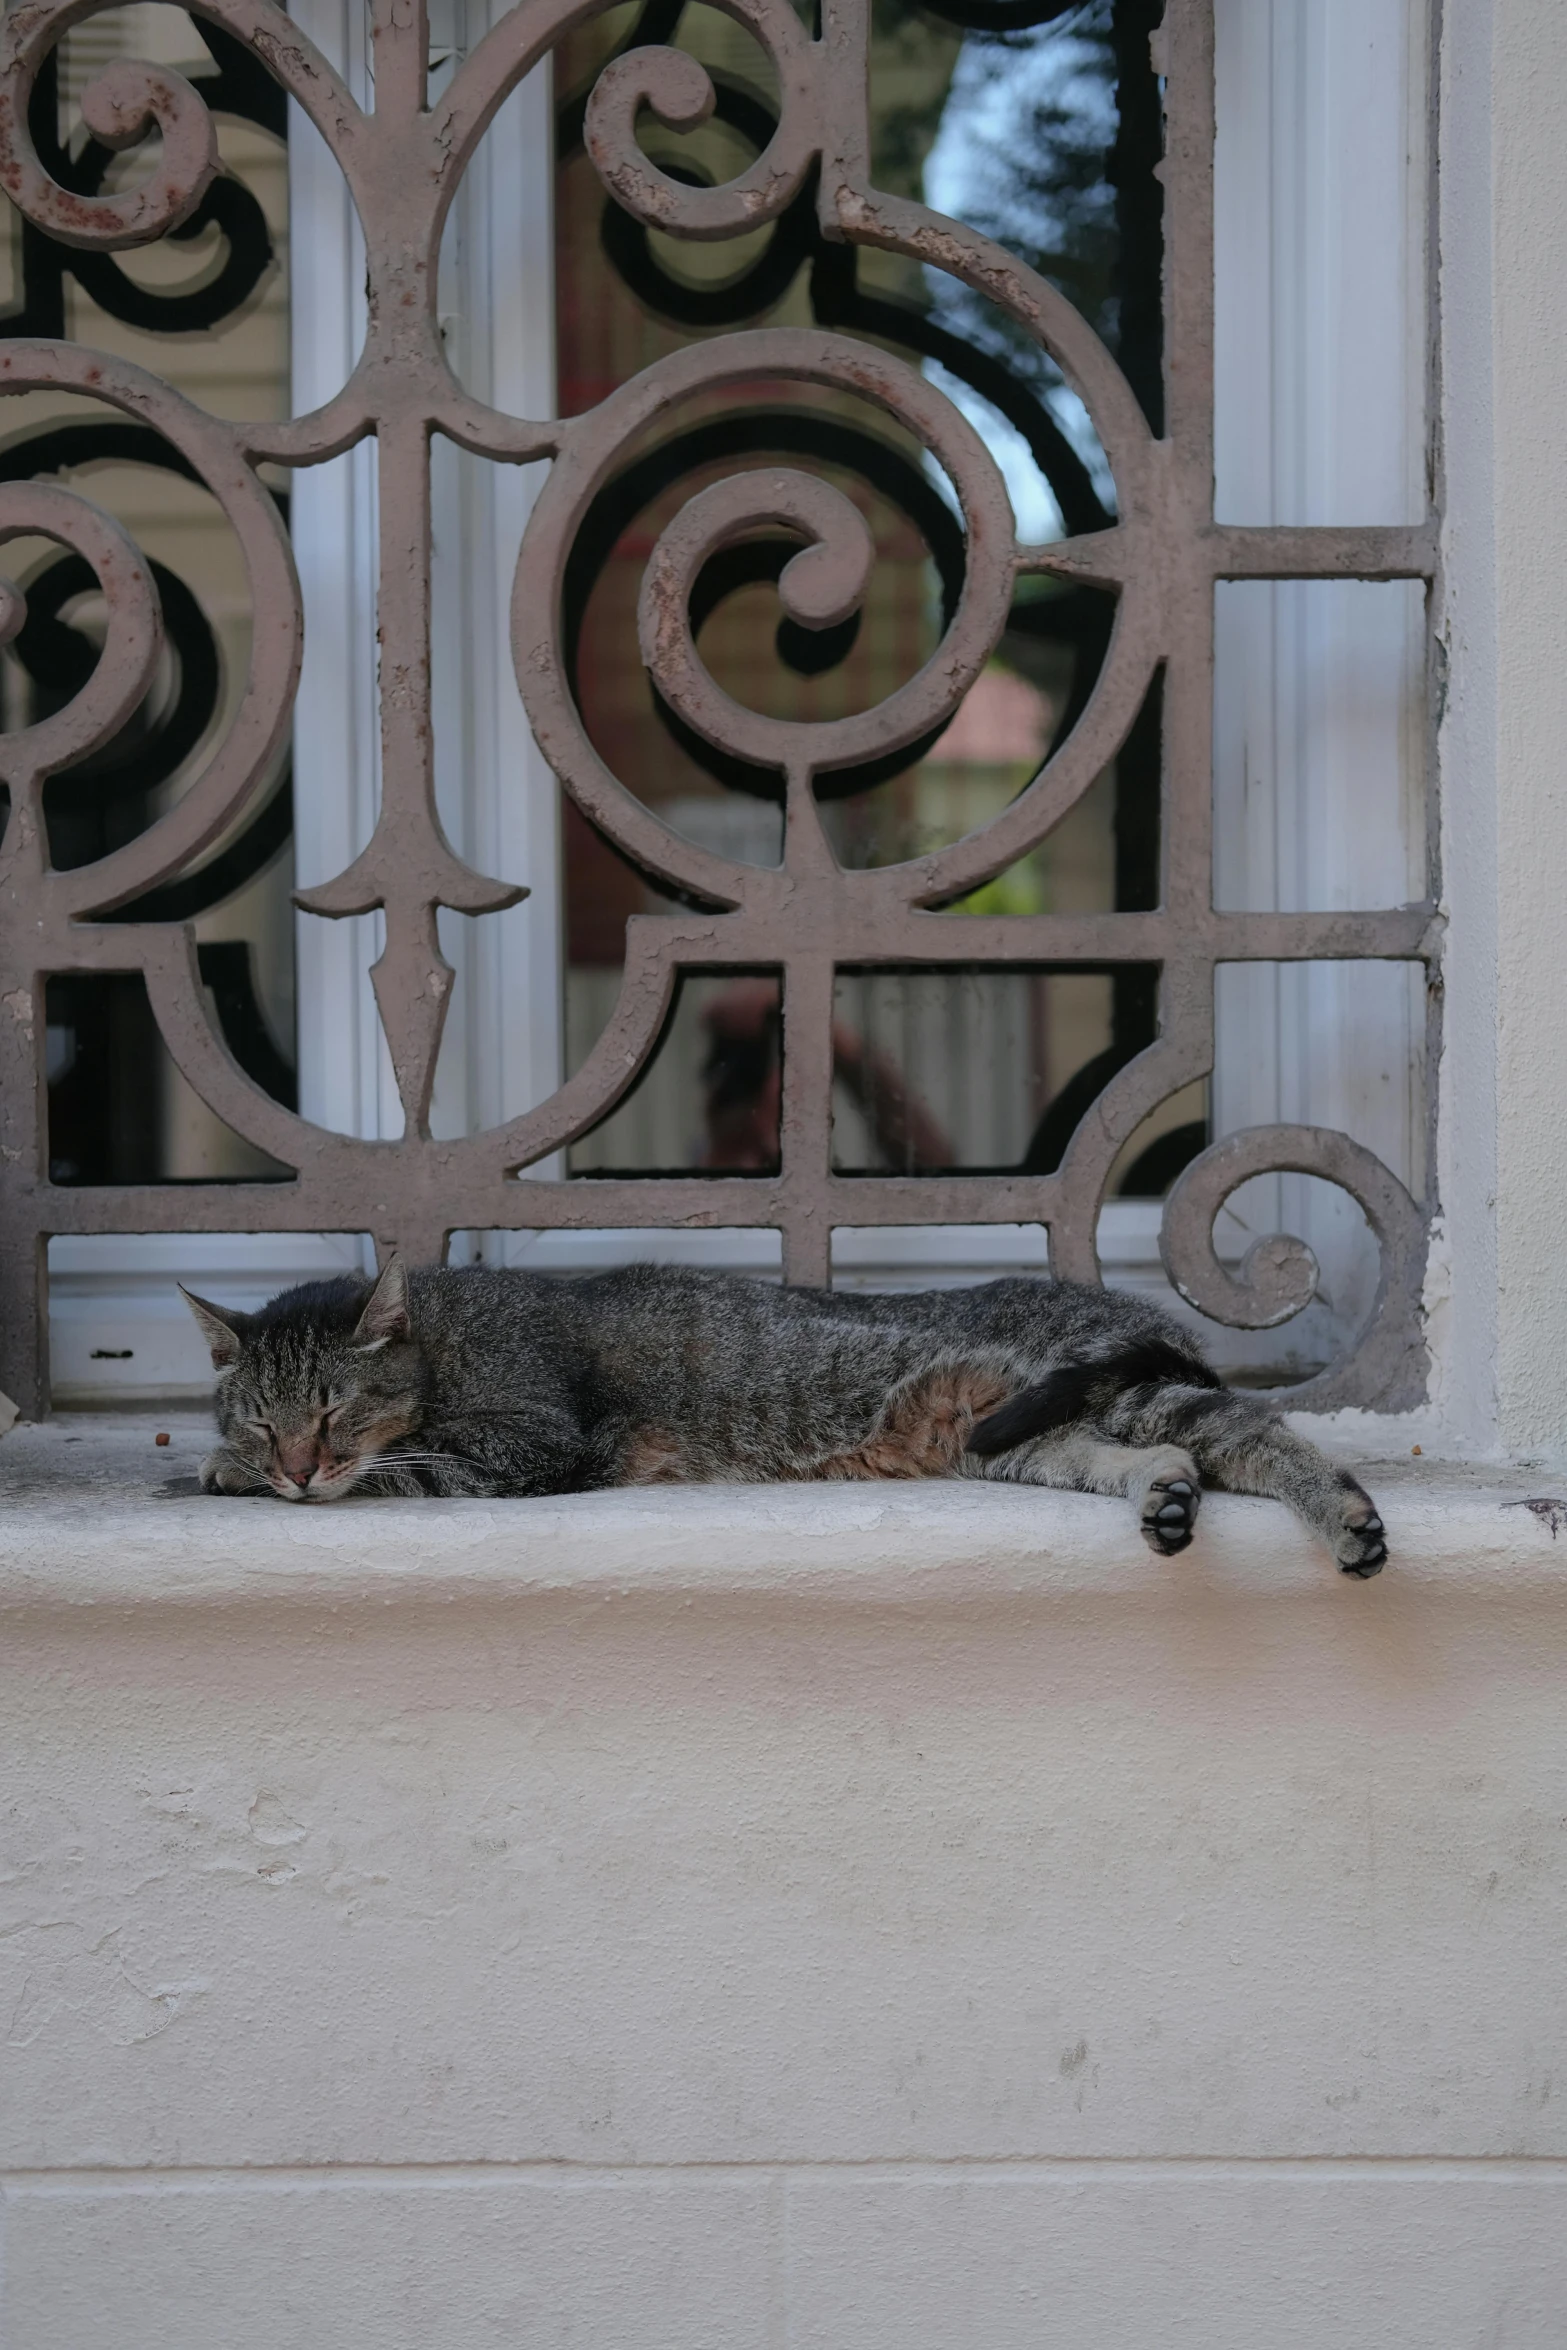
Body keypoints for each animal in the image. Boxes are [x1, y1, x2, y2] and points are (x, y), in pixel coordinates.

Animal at [177, 1259, 1390, 1569]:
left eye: (332, 1412)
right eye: (262, 1418)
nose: (288, 1464)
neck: (446, 1335)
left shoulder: (528, 1443)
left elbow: (407, 1466)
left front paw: (224, 1477)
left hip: (1128, 1385)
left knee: (1259, 1436)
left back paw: (1349, 1522)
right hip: (1014, 1438)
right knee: (1140, 1458)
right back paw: (1165, 1499)